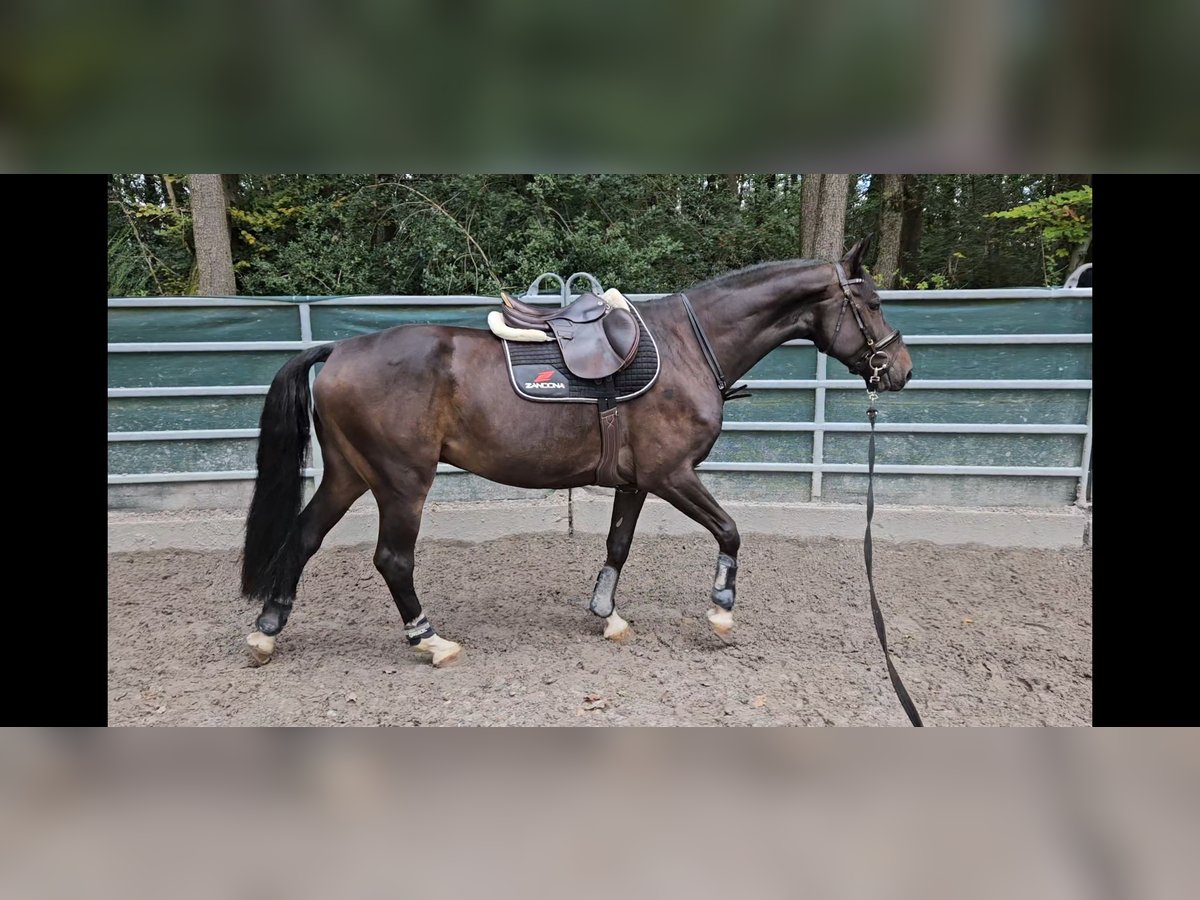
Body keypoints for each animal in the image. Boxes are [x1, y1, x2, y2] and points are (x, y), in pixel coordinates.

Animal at [238, 240, 912, 672]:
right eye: (873, 303)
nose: (900, 369)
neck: (688, 346)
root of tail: (339, 350)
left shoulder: (637, 480)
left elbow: (618, 543)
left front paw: (607, 614)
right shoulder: (673, 475)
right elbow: (730, 531)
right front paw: (720, 612)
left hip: (349, 474)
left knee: (303, 538)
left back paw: (267, 632)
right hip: (403, 482)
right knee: (392, 560)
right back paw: (430, 640)